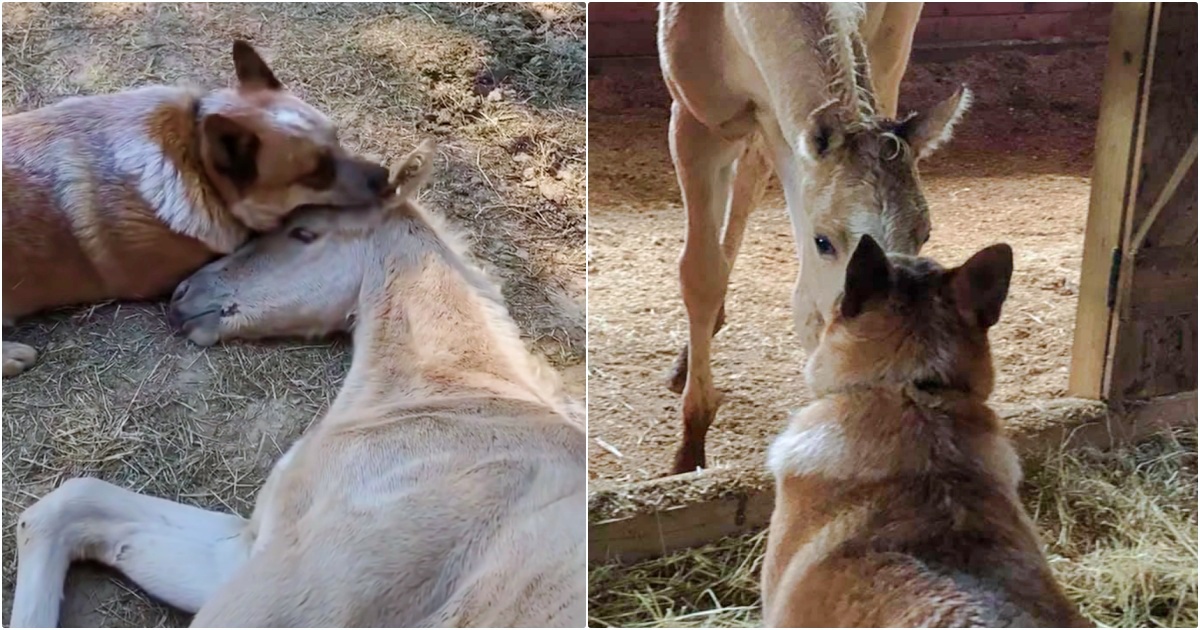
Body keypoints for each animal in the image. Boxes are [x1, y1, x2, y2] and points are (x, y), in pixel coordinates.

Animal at [12, 139, 585, 624]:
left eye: (303, 233)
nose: (183, 295)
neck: (452, 401)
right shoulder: (246, 551)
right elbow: (69, 504)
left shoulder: (291, 590)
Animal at [662, 1, 969, 470]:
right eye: (823, 241)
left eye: (925, 234)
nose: (884, 362)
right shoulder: (697, 120)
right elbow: (700, 274)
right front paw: (688, 451)